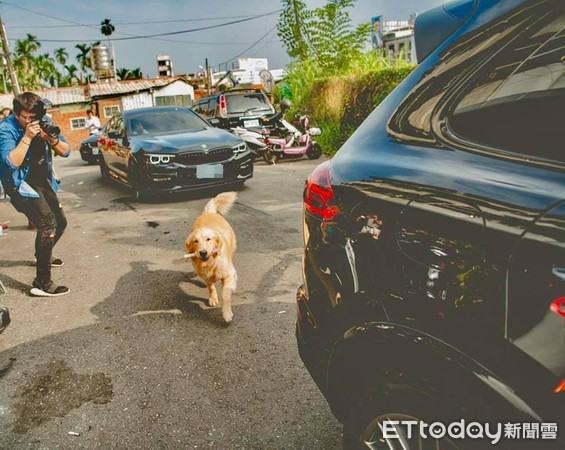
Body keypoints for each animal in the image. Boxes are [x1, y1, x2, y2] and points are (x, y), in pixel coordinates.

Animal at [185, 192, 238, 322]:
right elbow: (211, 287)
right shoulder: (207, 276)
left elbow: (225, 293)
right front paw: (213, 298)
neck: (211, 262)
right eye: (195, 241)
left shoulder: (229, 274)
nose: (203, 252)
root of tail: (209, 212)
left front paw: (226, 313)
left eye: (208, 239)